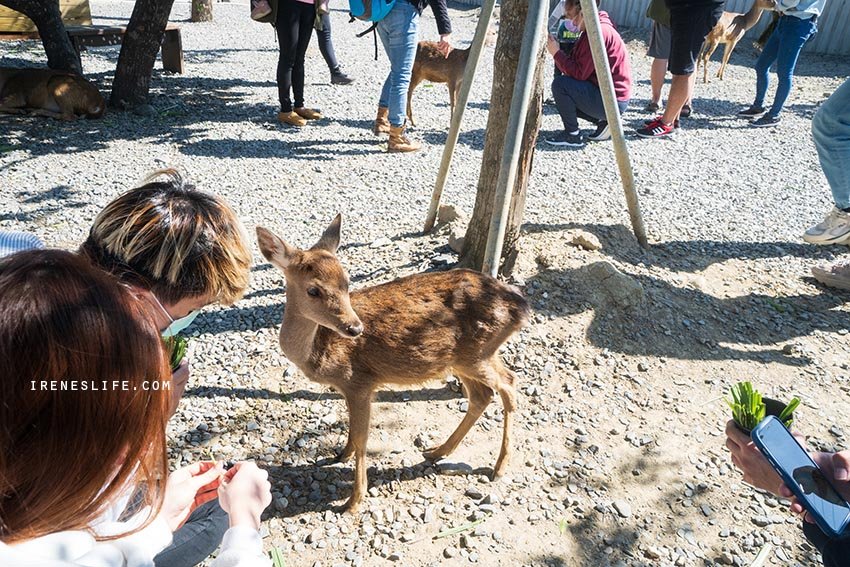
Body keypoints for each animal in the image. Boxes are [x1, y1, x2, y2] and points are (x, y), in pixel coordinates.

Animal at [255, 215, 528, 512]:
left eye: (347, 282)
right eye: (313, 290)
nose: (354, 328)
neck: (318, 351)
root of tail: (521, 308)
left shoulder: (359, 381)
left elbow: (362, 438)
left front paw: (353, 501)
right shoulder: (350, 388)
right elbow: (352, 430)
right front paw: (341, 454)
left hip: (477, 354)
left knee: (509, 384)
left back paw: (499, 467)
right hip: (464, 358)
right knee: (483, 394)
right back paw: (437, 451)